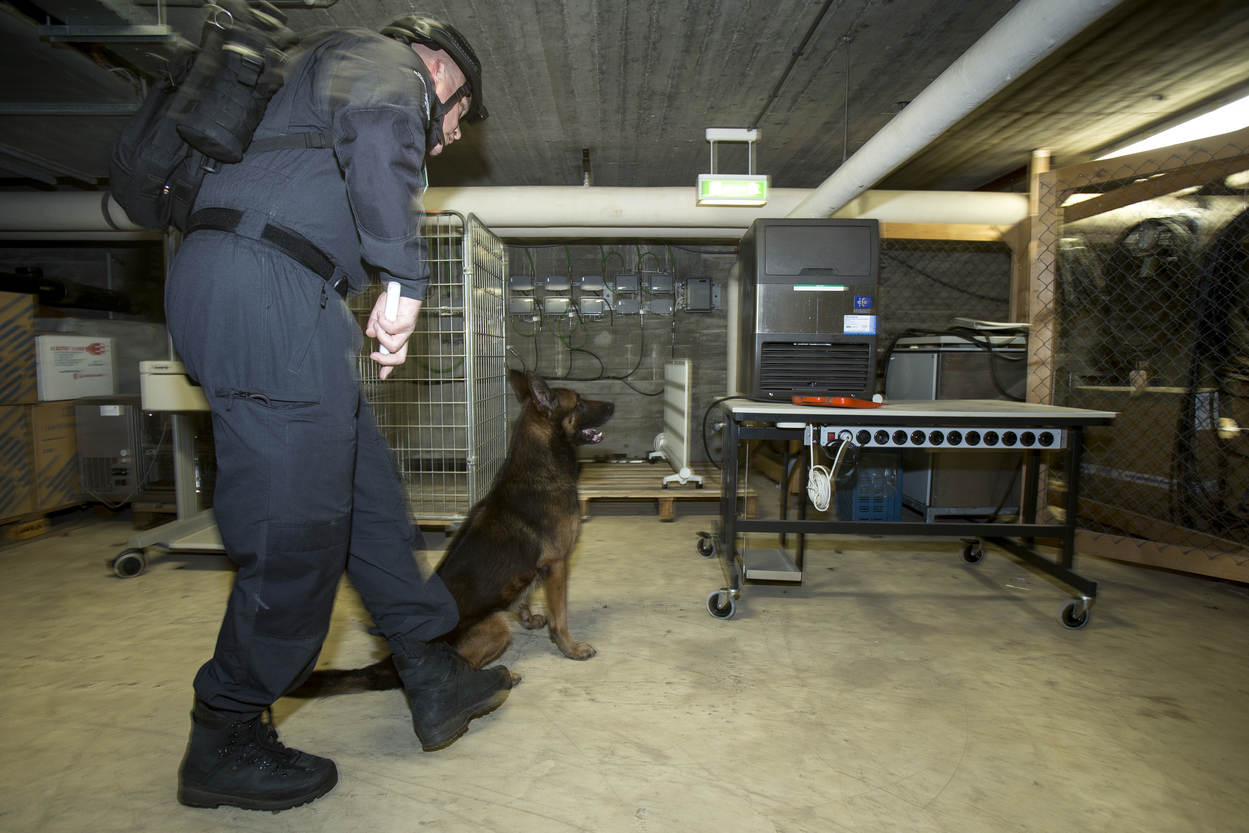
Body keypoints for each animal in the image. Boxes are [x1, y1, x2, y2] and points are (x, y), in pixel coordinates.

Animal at [289, 369, 613, 697]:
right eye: (580, 403)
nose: (613, 405)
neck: (542, 466)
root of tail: (392, 663)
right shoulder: (556, 565)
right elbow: (560, 618)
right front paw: (571, 648)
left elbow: (524, 596)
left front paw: (528, 618)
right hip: (496, 626)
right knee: (456, 671)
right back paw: (499, 680)